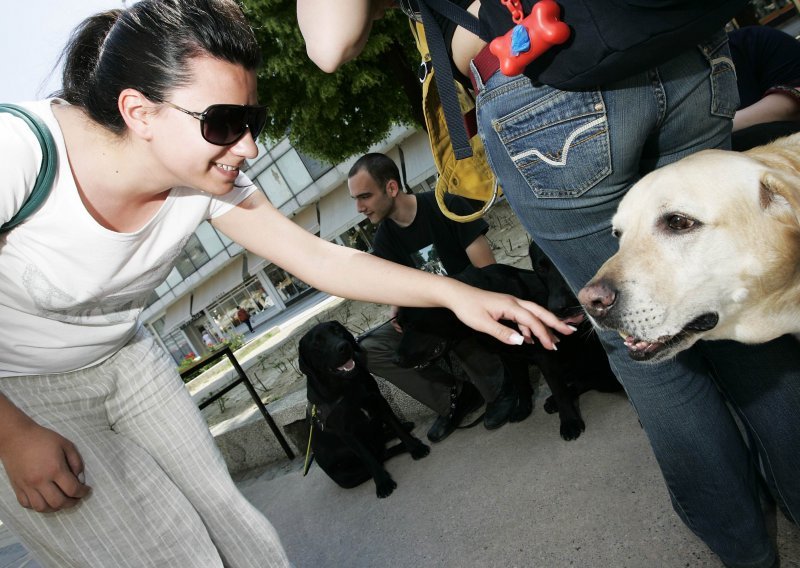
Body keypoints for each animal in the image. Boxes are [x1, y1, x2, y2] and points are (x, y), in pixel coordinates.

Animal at [298, 320, 428, 496]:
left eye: (337, 330)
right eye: (317, 343)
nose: (343, 346)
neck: (347, 387)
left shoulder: (379, 401)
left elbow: (398, 428)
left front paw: (415, 447)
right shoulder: (346, 433)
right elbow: (368, 457)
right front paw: (383, 483)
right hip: (349, 476)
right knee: (380, 455)